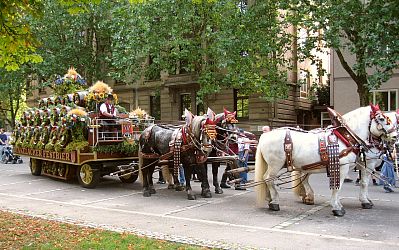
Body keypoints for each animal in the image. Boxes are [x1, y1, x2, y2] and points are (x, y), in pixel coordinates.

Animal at [255, 104, 398, 216]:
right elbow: (344, 186)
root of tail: (266, 134)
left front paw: (359, 201)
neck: (346, 137)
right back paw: (274, 201)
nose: (395, 137)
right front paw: (338, 207)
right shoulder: (351, 166)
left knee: (295, 179)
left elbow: (357, 183)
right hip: (275, 165)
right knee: (268, 179)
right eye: (381, 119)